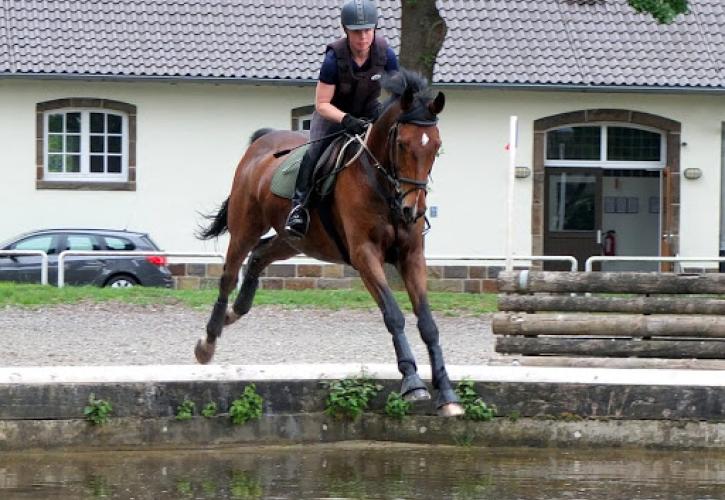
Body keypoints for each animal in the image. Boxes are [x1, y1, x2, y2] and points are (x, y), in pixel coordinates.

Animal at [195, 68, 460, 416]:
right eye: (402, 144)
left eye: (437, 147)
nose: (412, 210)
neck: (383, 186)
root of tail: (261, 143)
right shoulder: (364, 255)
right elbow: (393, 314)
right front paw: (413, 383)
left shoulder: (412, 255)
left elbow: (428, 323)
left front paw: (447, 393)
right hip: (246, 226)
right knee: (229, 273)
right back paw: (209, 340)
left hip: (296, 239)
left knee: (260, 255)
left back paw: (234, 312)